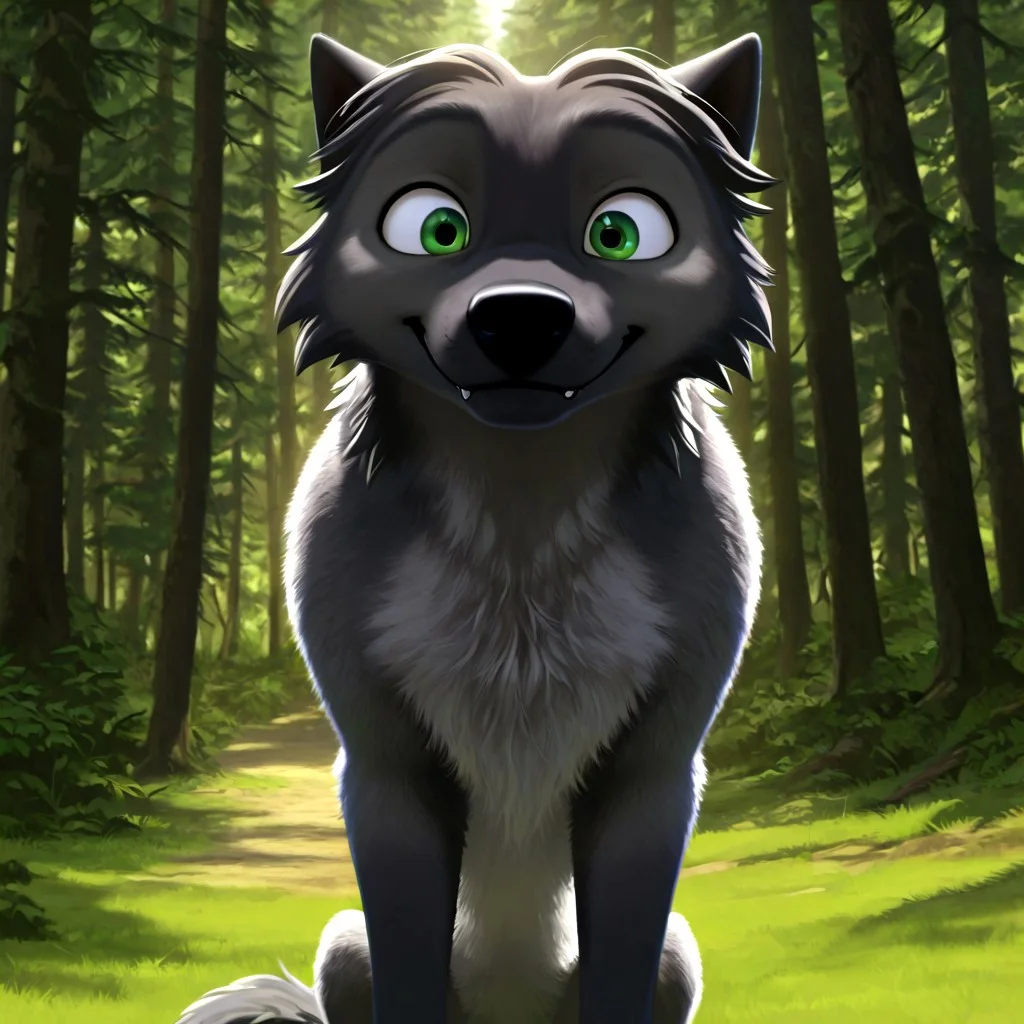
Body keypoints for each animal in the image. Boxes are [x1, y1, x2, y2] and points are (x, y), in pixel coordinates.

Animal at [174, 28, 773, 1024]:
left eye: (622, 231)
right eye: (434, 226)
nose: (520, 317)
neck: (520, 517)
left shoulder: (652, 775)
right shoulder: (385, 770)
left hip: (680, 958)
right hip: (343, 949)